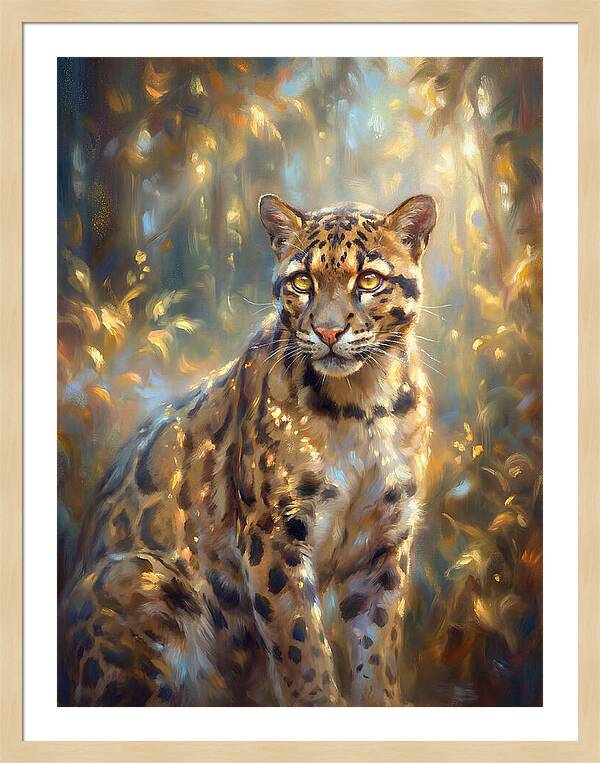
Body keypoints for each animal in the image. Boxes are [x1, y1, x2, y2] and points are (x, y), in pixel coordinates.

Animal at [59, 192, 437, 707]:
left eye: (368, 279)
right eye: (302, 281)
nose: (328, 332)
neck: (362, 407)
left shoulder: (384, 543)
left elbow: (376, 650)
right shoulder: (274, 536)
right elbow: (302, 651)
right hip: (140, 578)